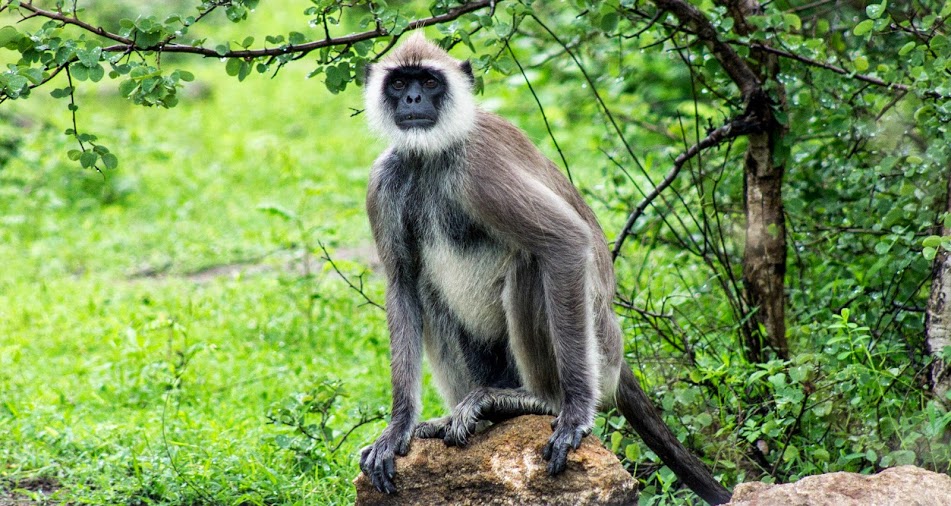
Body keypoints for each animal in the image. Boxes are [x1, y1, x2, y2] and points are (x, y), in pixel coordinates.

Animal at [360, 33, 732, 504]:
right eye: (399, 83)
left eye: (428, 81)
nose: (412, 99)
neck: (433, 154)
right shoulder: (384, 179)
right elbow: (403, 283)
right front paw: (398, 428)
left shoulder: (479, 166)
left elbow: (565, 243)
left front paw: (573, 413)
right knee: (428, 288)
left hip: (599, 352)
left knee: (531, 262)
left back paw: (538, 400)